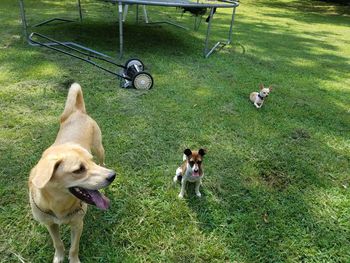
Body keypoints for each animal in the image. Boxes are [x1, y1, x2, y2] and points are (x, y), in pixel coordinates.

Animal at [28, 84, 116, 263]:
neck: (59, 204)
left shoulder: (77, 224)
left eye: (91, 162)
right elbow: (58, 244)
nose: (113, 176)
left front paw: (73, 260)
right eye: (78, 170)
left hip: (99, 149)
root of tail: (78, 112)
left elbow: (74, 248)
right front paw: (59, 257)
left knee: (103, 161)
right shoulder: (50, 224)